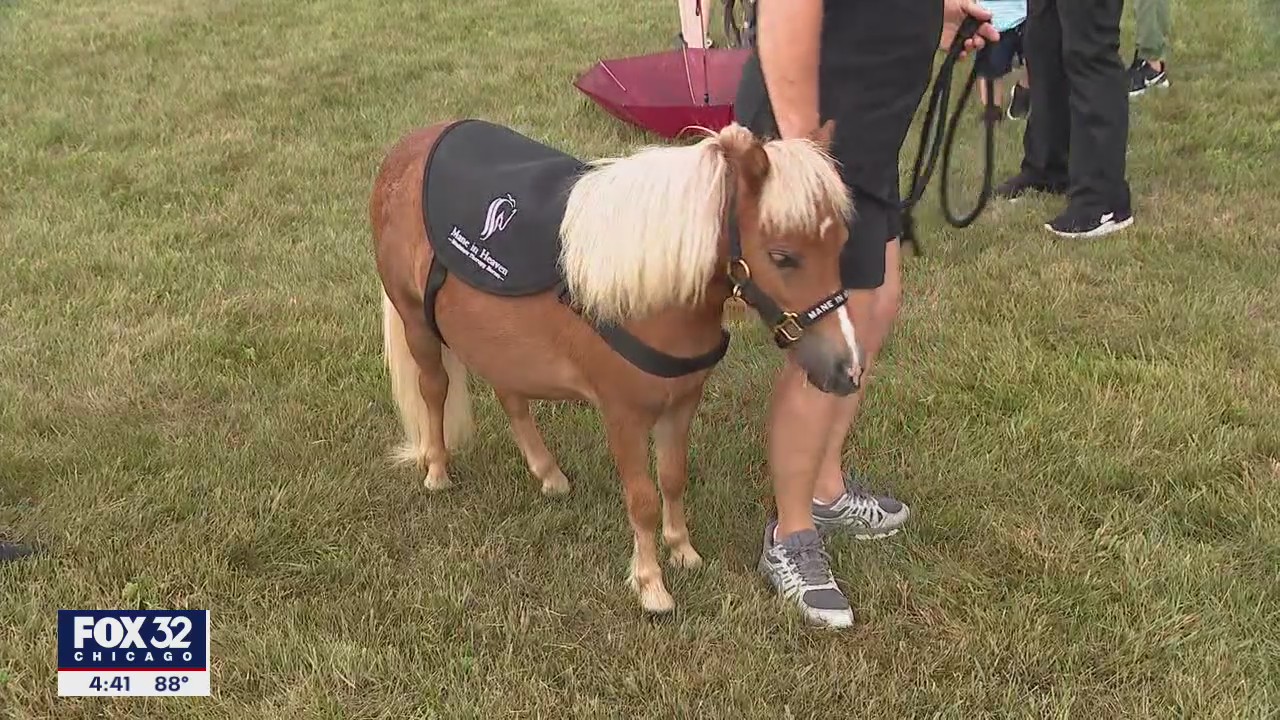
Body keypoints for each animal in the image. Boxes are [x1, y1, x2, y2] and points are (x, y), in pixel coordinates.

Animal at [369, 117, 863, 615]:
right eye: (782, 256)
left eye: (842, 243)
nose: (847, 369)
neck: (646, 300)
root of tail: (407, 149)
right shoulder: (623, 416)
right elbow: (642, 498)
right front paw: (650, 584)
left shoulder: (681, 404)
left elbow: (673, 477)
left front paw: (682, 550)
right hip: (416, 321)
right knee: (434, 388)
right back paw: (436, 469)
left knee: (510, 395)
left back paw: (548, 474)